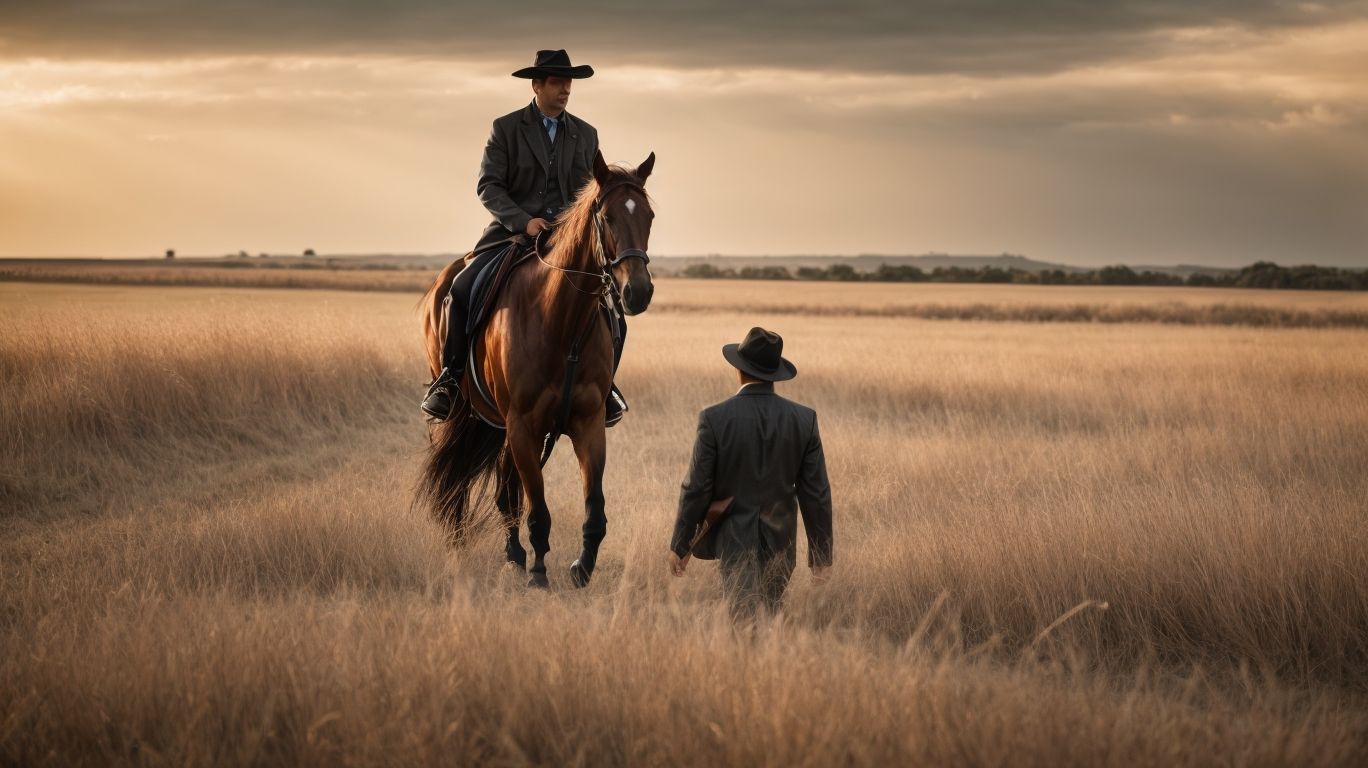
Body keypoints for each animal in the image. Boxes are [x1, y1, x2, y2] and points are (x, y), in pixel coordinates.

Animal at [418, 150, 656, 589]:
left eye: (648, 216)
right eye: (606, 216)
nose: (638, 292)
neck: (562, 321)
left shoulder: (587, 423)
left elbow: (594, 505)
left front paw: (582, 567)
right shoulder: (523, 424)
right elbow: (538, 507)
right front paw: (540, 575)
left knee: (505, 487)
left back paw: (513, 554)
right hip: (464, 415)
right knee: (463, 479)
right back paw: (460, 543)